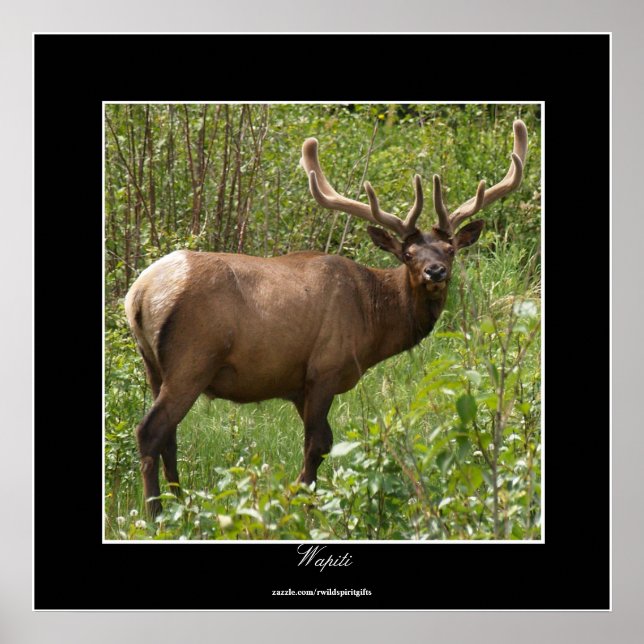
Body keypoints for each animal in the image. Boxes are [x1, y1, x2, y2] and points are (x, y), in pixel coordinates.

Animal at [124, 119, 528, 516]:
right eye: (408, 254)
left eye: (450, 249)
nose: (435, 271)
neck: (373, 322)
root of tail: (139, 293)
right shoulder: (325, 367)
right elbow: (318, 445)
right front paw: (302, 505)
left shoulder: (298, 384)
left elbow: (320, 443)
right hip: (193, 358)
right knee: (151, 430)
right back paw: (156, 515)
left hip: (153, 366)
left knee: (169, 436)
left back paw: (181, 506)